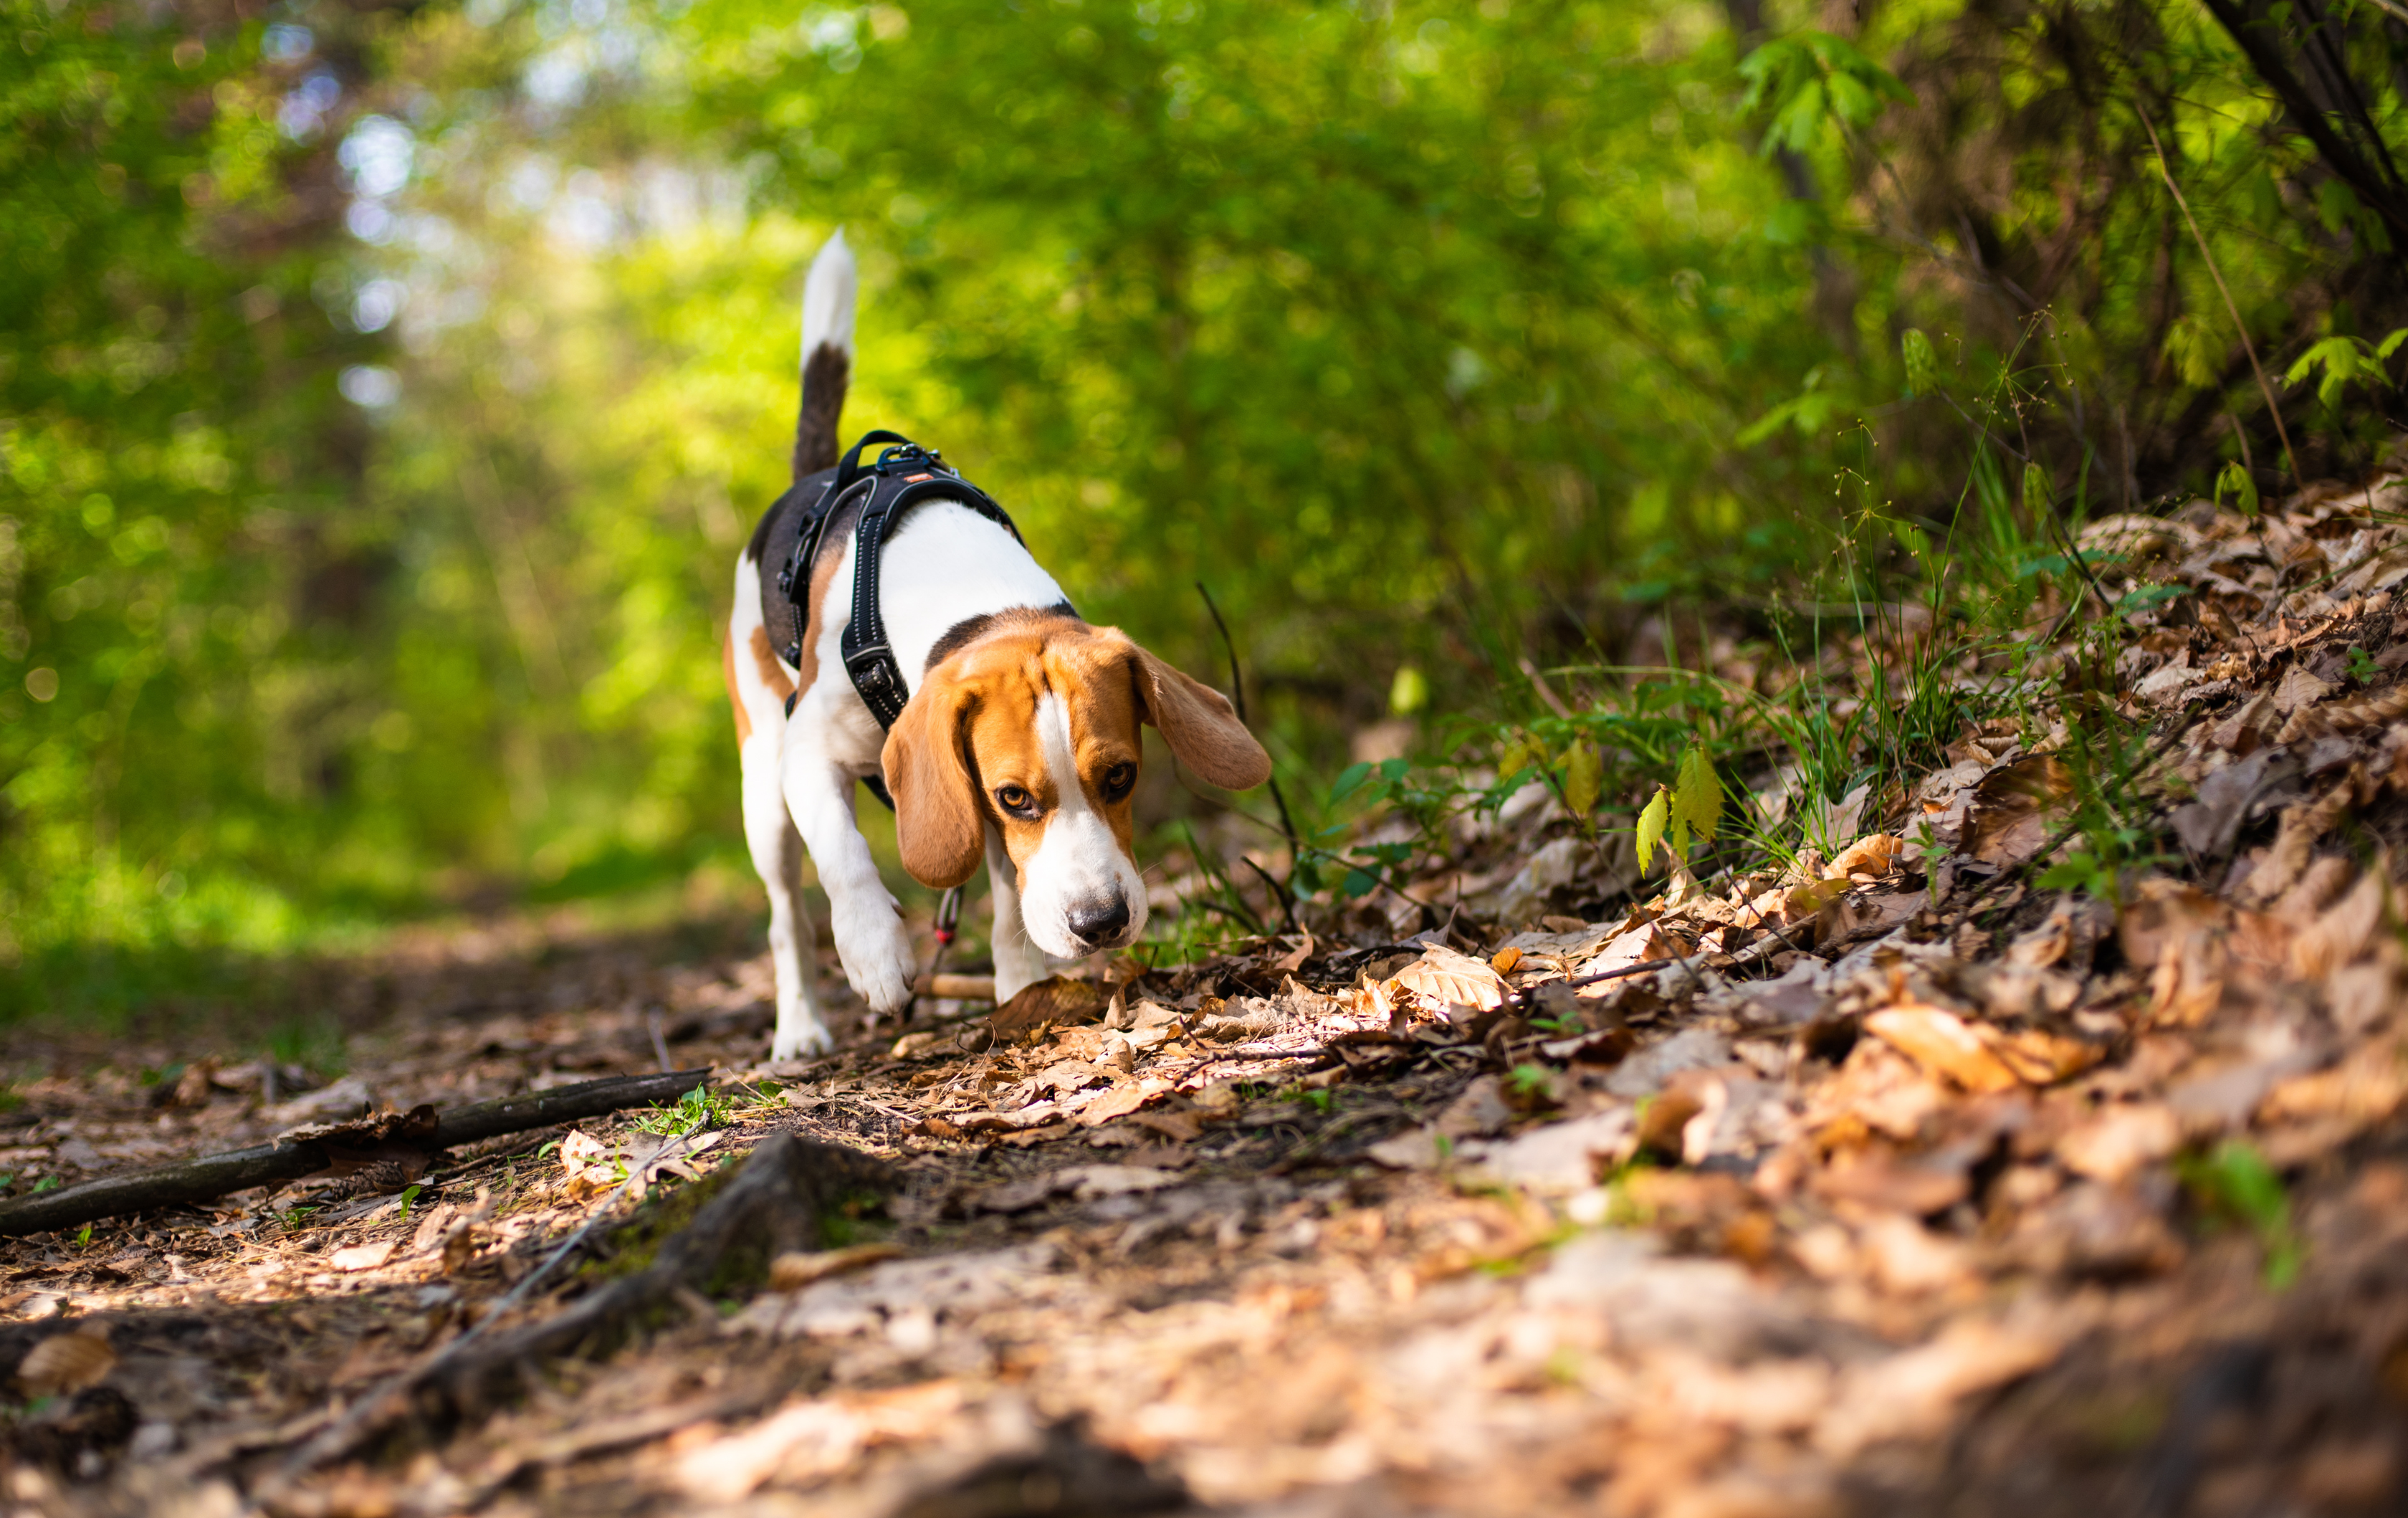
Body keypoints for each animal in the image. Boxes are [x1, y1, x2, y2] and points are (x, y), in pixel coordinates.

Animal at [717, 234, 1271, 1060]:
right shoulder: (812, 751)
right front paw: (876, 950)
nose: (1102, 924)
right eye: (1017, 797)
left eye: (1121, 776)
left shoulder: (968, 794)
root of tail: (811, 479)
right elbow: (844, 854)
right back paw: (801, 1026)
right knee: (787, 912)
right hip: (763, 784)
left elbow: (1011, 903)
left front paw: (1020, 990)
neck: (980, 601)